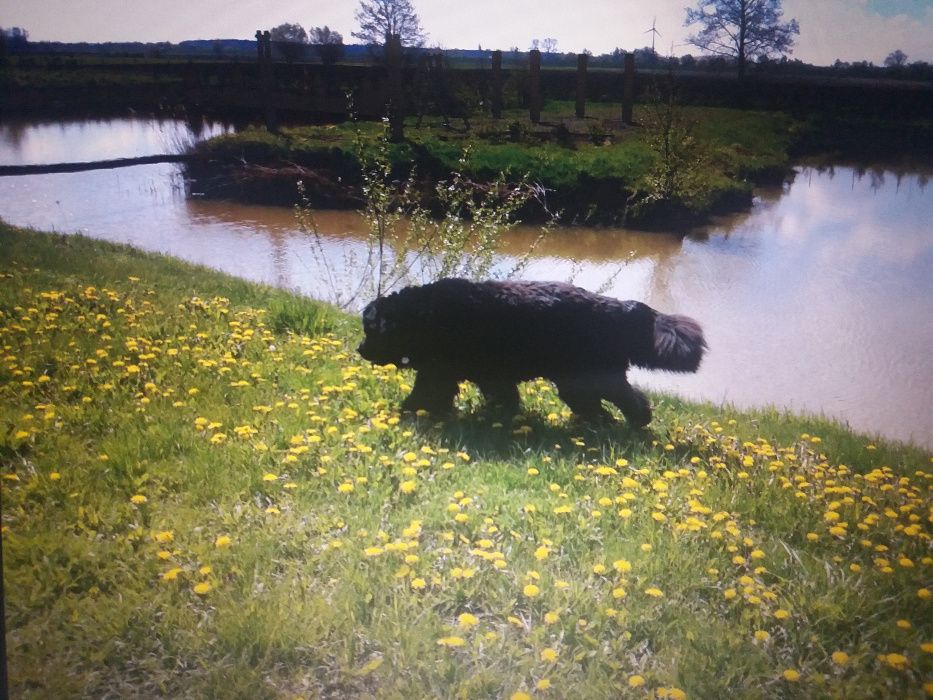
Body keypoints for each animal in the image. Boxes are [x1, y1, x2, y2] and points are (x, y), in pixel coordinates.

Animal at [356, 278, 708, 426]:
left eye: (369, 329)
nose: (359, 349)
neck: (422, 316)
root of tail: (619, 309)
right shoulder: (488, 376)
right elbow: (503, 399)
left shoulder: (439, 373)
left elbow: (423, 395)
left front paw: (403, 414)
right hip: (577, 383)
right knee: (602, 406)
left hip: (589, 378)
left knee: (628, 400)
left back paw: (635, 423)